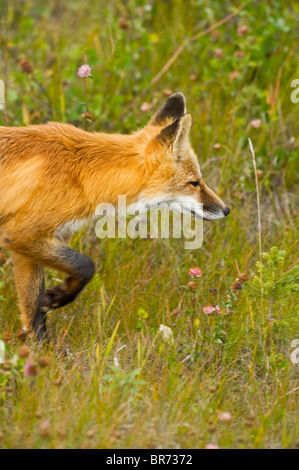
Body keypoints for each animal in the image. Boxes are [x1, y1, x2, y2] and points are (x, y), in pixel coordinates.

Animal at [0, 93, 231, 340]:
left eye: (200, 180)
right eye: (193, 182)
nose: (226, 209)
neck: (80, 174)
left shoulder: (24, 246)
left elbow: (33, 311)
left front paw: (38, 347)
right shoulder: (22, 234)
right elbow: (86, 266)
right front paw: (57, 299)